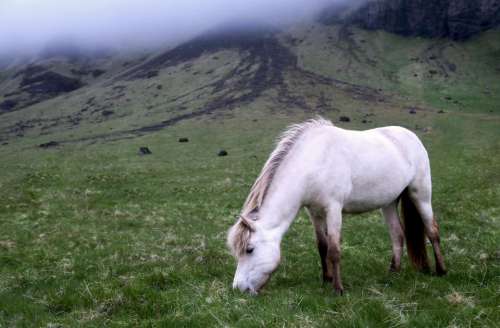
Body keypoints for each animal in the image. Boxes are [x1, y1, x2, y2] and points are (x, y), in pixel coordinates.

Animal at [227, 118, 446, 294]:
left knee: (432, 231)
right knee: (397, 234)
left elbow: (334, 249)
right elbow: (322, 246)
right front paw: (327, 279)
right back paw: (394, 272)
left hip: (421, 194)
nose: (238, 288)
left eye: (249, 250)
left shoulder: (333, 209)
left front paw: (338, 288)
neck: (314, 161)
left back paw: (441, 270)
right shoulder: (314, 213)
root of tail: (411, 136)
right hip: (389, 202)